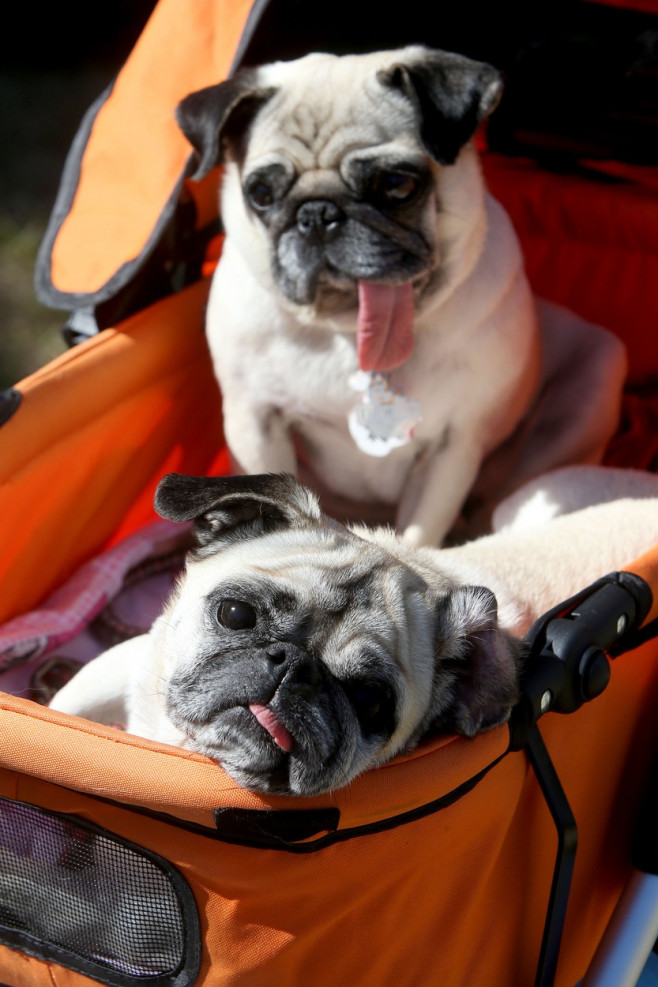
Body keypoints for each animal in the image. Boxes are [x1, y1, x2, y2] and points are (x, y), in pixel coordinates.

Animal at [176, 46, 624, 544]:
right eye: (260, 193)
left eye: (397, 185)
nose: (317, 213)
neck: (348, 330)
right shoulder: (255, 423)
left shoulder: (453, 443)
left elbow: (419, 533)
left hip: (593, 384)